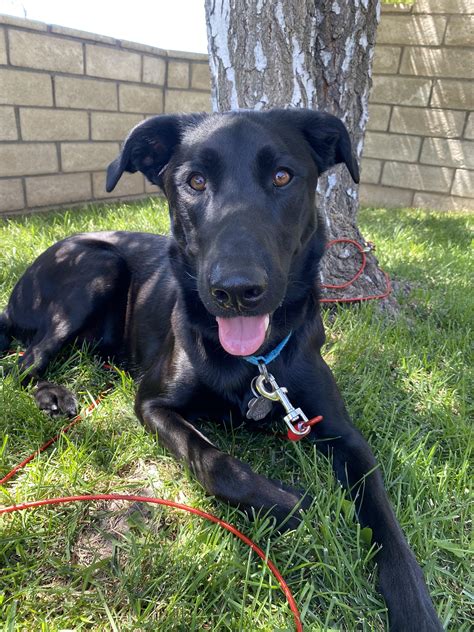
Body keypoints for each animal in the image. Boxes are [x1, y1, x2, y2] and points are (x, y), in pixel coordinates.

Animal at [0, 108, 440, 628]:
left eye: (283, 176)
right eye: (195, 181)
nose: (236, 290)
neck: (253, 361)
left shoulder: (341, 431)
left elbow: (385, 518)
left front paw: (414, 604)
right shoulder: (152, 403)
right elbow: (215, 463)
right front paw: (296, 503)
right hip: (96, 265)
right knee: (22, 364)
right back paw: (52, 395)